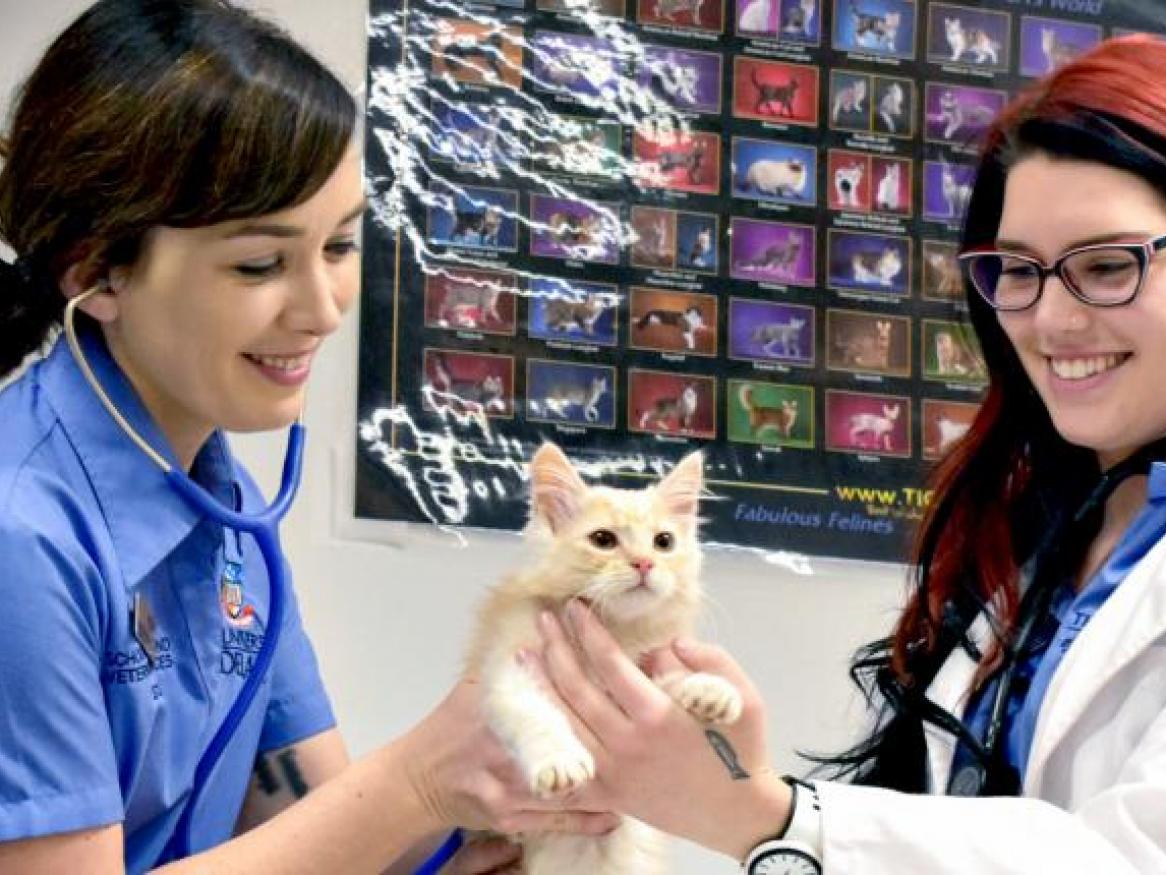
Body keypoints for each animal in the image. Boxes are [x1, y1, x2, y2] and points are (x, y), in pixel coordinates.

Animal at [461, 445, 741, 875]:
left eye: (663, 542)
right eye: (603, 540)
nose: (644, 563)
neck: (615, 630)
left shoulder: (643, 676)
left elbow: (673, 681)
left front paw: (711, 689)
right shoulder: (509, 671)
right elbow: (534, 715)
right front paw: (559, 760)